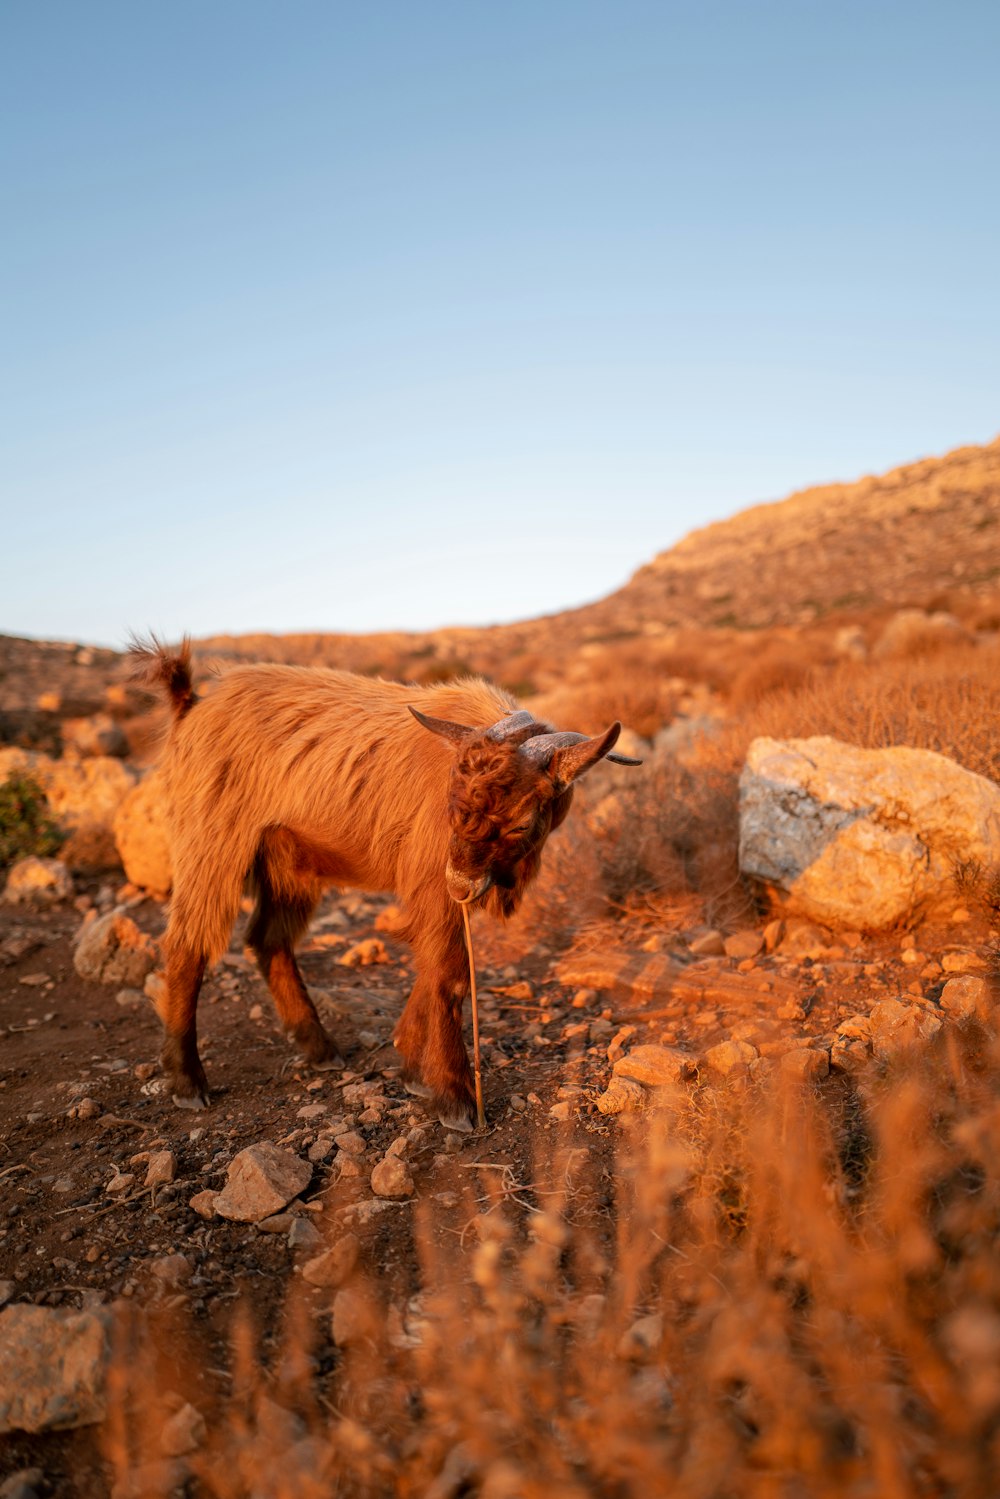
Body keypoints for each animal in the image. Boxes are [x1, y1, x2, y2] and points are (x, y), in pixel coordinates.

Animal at [131, 638, 641, 1127]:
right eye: (451, 804)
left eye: (519, 824)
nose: (461, 884)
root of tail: (193, 703)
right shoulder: (434, 882)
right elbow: (450, 976)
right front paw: (455, 1099)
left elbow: (432, 967)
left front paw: (411, 1066)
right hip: (212, 843)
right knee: (187, 946)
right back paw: (187, 1081)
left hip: (286, 861)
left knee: (269, 940)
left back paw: (319, 1048)